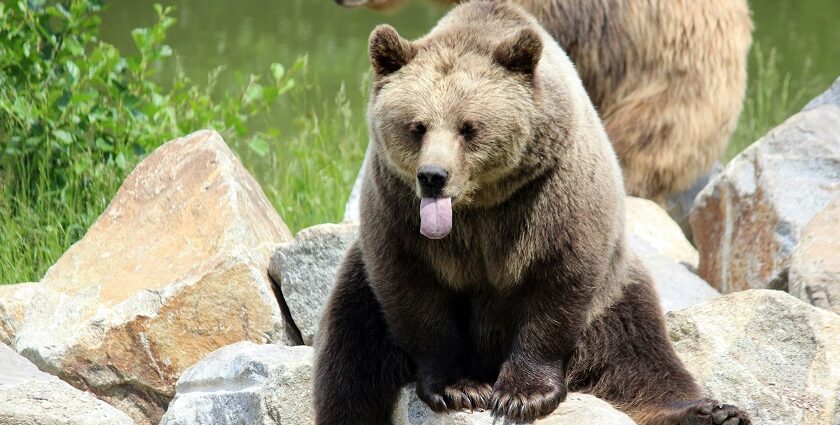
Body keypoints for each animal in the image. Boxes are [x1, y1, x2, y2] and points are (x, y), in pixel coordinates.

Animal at [312, 1, 752, 422]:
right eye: (416, 126)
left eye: (469, 127)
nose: (433, 176)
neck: (480, 202)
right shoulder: (398, 210)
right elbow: (415, 292)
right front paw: (460, 388)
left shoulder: (550, 197)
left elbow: (555, 285)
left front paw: (522, 396)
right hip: (360, 283)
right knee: (351, 359)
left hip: (614, 291)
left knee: (640, 352)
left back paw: (712, 411)